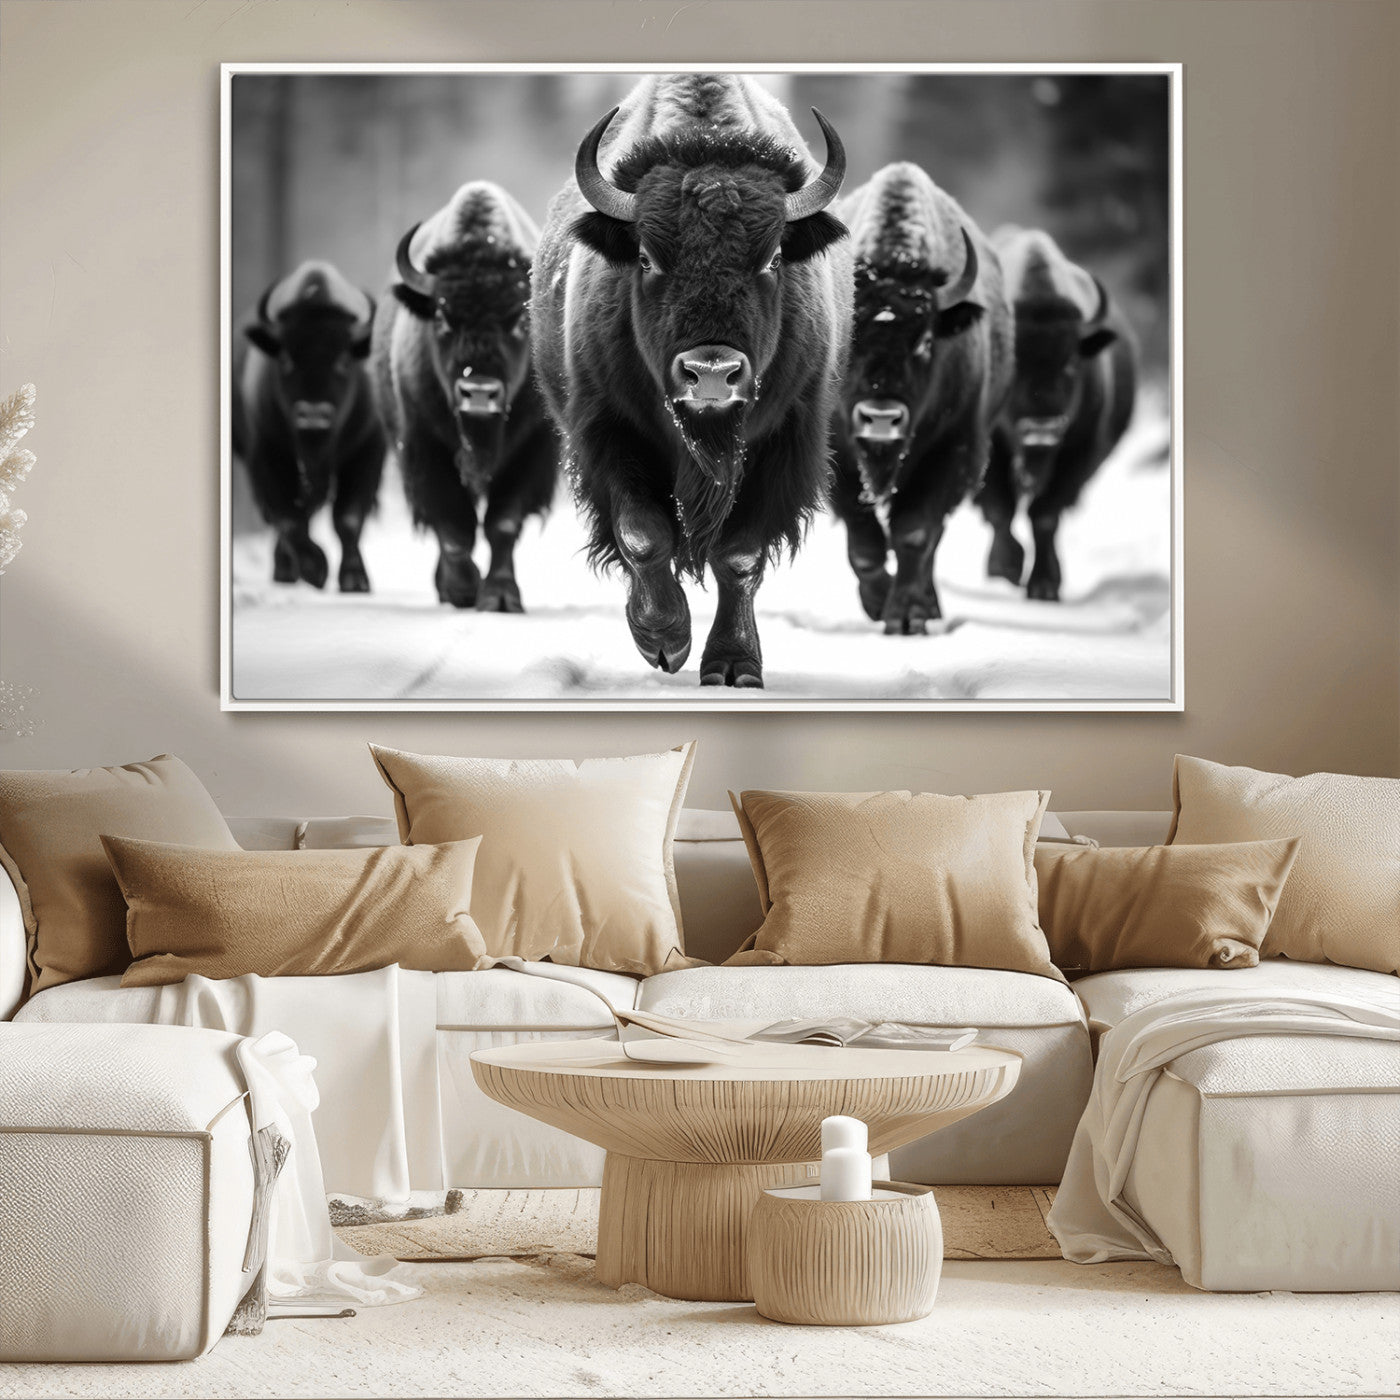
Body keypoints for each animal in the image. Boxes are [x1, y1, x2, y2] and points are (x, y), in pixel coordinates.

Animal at [234, 261, 384, 591]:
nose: (313, 416)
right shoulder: (267, 455)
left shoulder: (367, 450)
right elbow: (290, 518)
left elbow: (348, 518)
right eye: (285, 360)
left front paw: (355, 579)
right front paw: (315, 568)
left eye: (344, 361)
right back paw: (287, 570)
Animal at [372, 182, 557, 611]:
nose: (479, 392)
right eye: (442, 317)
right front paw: (462, 589)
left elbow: (502, 522)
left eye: (520, 320)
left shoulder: (532, 450)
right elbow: (454, 525)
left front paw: (501, 596)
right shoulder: (424, 446)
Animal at [531, 74, 852, 687]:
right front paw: (664, 639)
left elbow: (739, 555)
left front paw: (734, 665)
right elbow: (642, 533)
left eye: (773, 258)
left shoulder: (785, 440)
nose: (711, 374)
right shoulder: (609, 431)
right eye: (646, 257)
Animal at [829, 163, 1014, 634]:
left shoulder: (951, 451)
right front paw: (878, 603)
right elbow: (865, 545)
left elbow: (914, 533)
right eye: (850, 336)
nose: (881, 418)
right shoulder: (839, 459)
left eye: (927, 340)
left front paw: (907, 616)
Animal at [977, 226, 1138, 600]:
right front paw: (1005, 568)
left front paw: (1045, 584)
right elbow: (1000, 508)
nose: (1042, 428)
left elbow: (1045, 516)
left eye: (1071, 364)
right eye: (1014, 366)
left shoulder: (1077, 456)